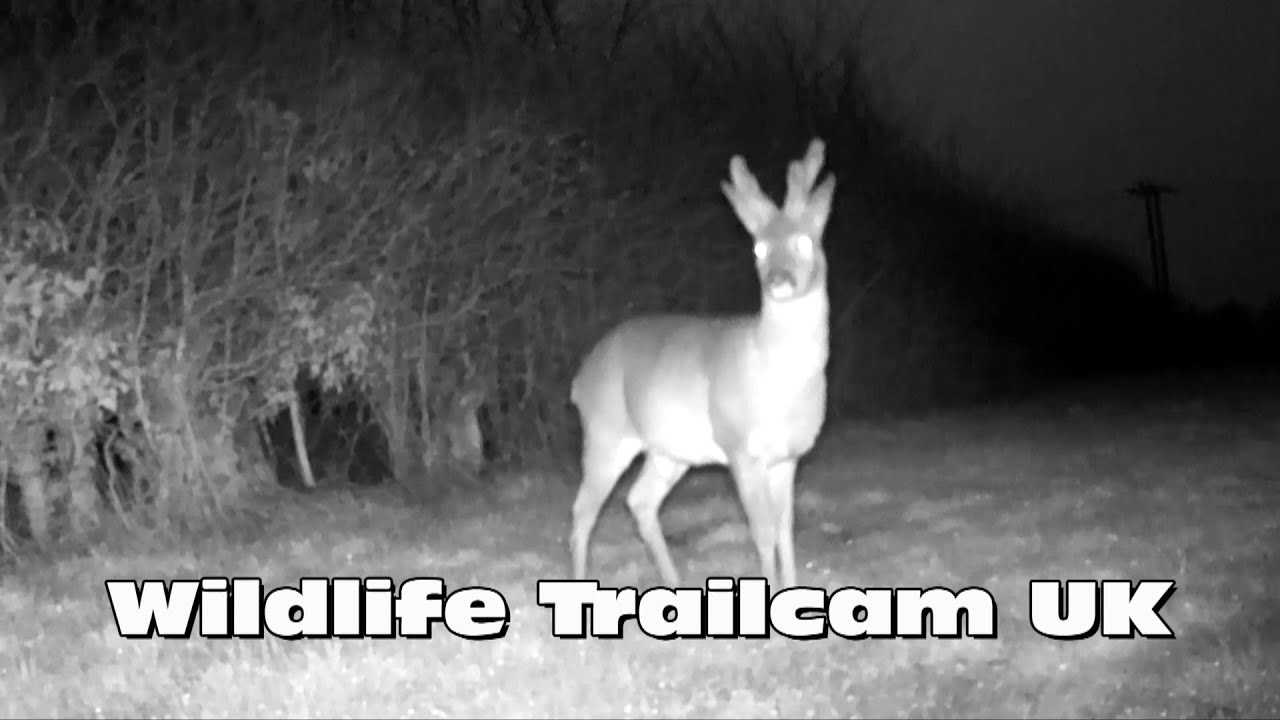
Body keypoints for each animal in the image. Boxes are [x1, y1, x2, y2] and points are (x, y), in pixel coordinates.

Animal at [568, 138, 836, 590]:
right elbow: (763, 532)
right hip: (606, 433)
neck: (780, 378)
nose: (778, 280)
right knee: (583, 513)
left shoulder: (789, 456)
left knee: (640, 501)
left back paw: (674, 584)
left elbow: (785, 530)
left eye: (805, 242)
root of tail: (578, 380)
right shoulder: (740, 447)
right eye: (758, 248)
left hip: (669, 451)